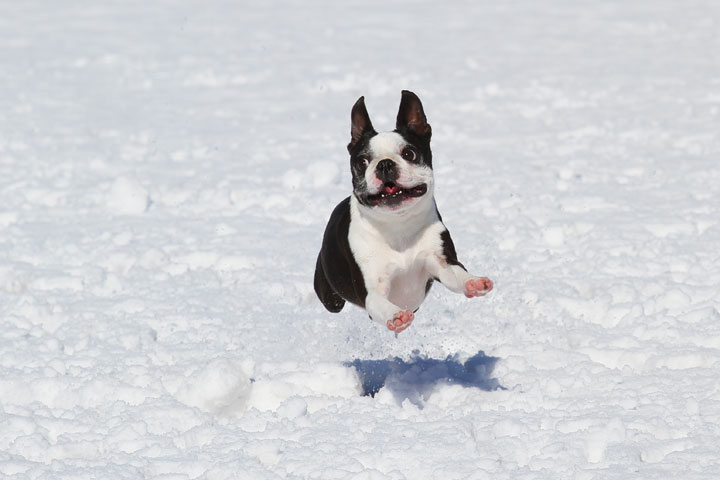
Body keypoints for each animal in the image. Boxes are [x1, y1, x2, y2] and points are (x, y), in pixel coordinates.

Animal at [316, 91, 496, 334]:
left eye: (409, 153)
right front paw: (397, 316)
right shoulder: (373, 291)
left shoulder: (440, 261)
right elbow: (380, 303)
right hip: (328, 295)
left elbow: (456, 274)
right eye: (362, 162)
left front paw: (473, 281)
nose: (384, 164)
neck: (397, 226)